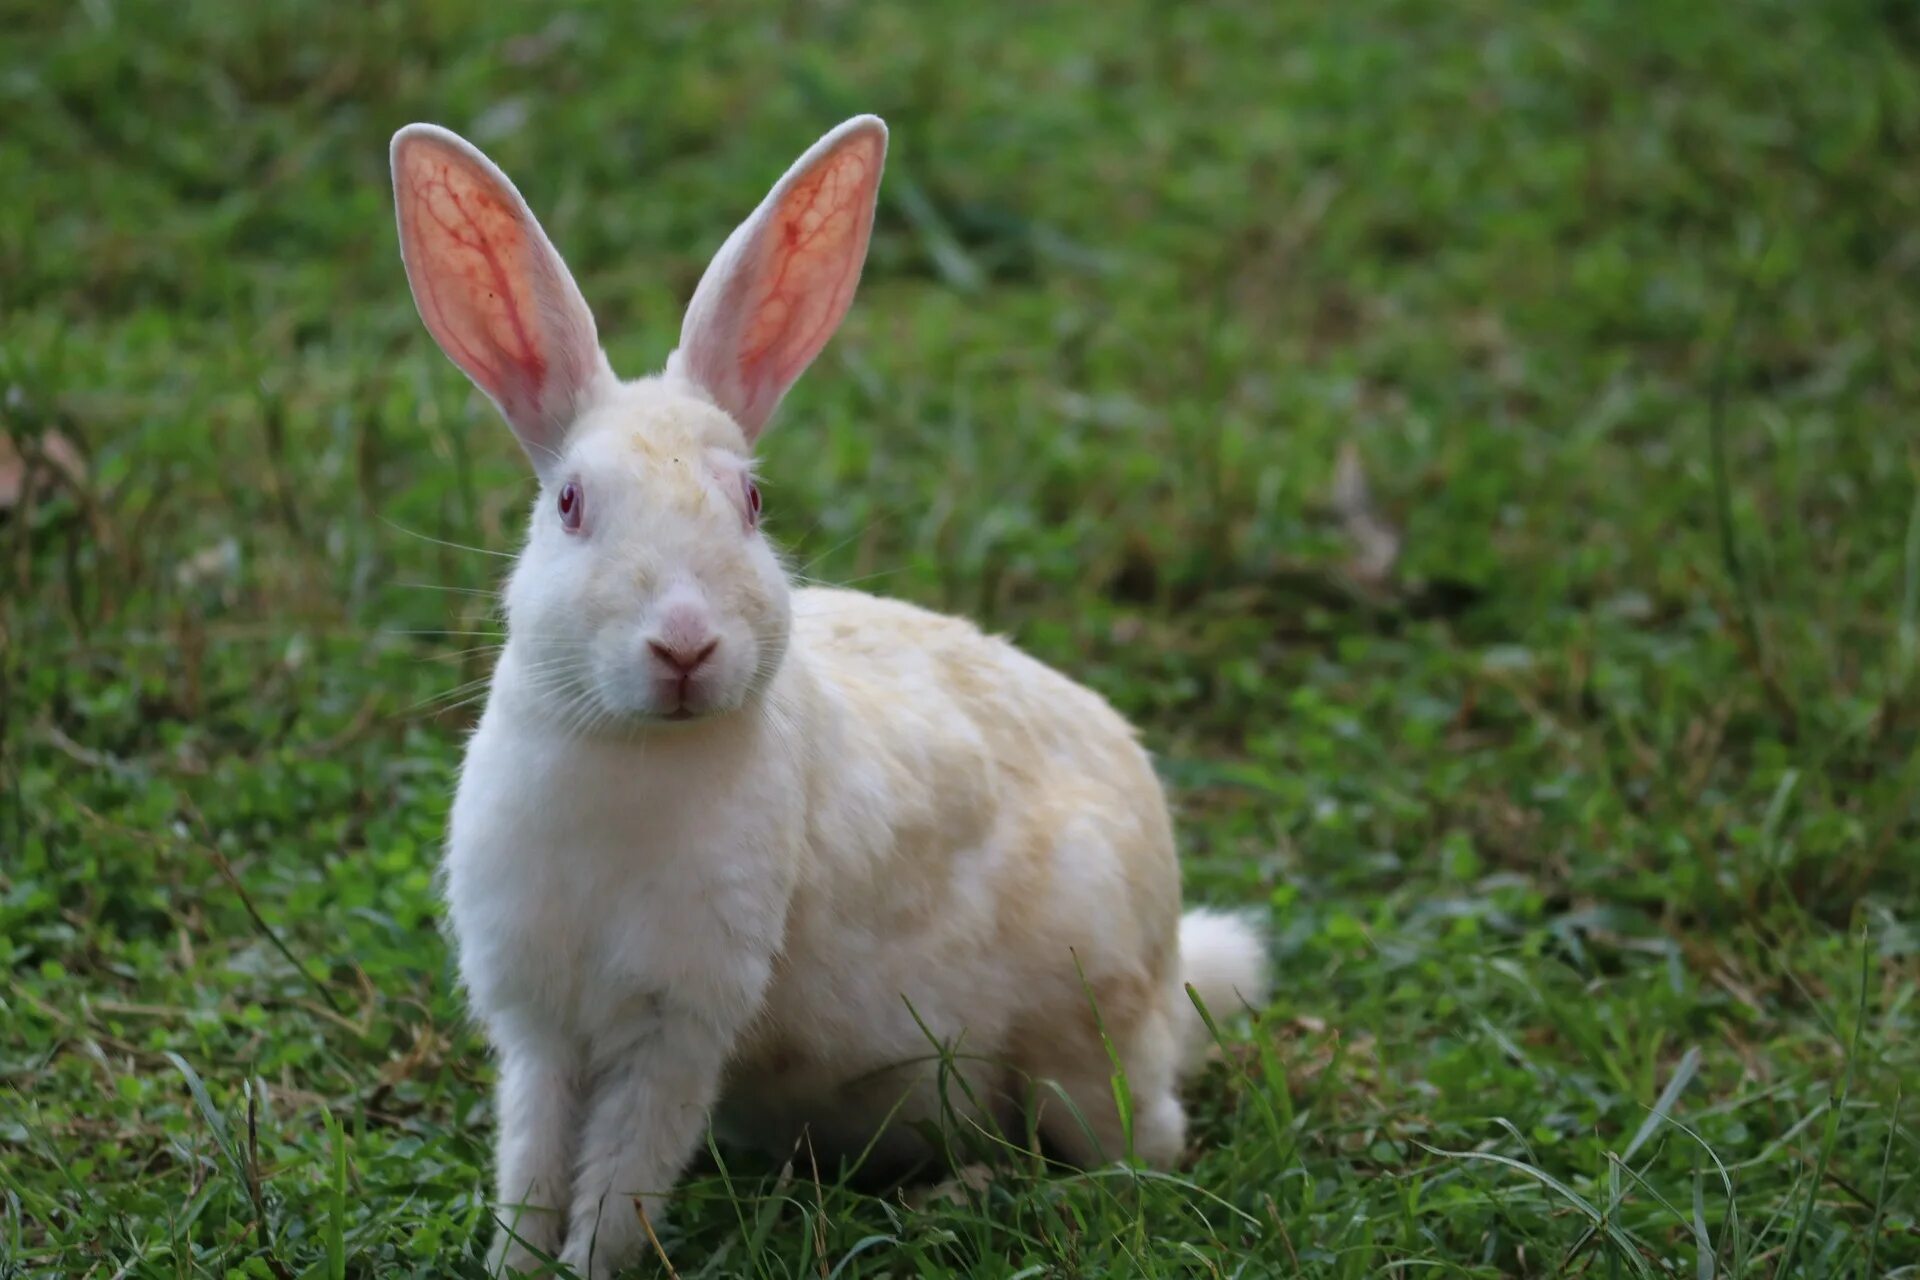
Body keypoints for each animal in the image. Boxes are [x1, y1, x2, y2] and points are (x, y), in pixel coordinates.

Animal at [389, 115, 1267, 1274]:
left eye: (752, 503)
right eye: (570, 504)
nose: (685, 645)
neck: (632, 750)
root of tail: (1174, 970)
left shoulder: (679, 1024)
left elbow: (621, 1175)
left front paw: (584, 1264)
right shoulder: (539, 1024)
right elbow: (533, 1165)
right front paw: (514, 1264)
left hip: (1082, 1043)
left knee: (1133, 1150)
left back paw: (965, 1192)